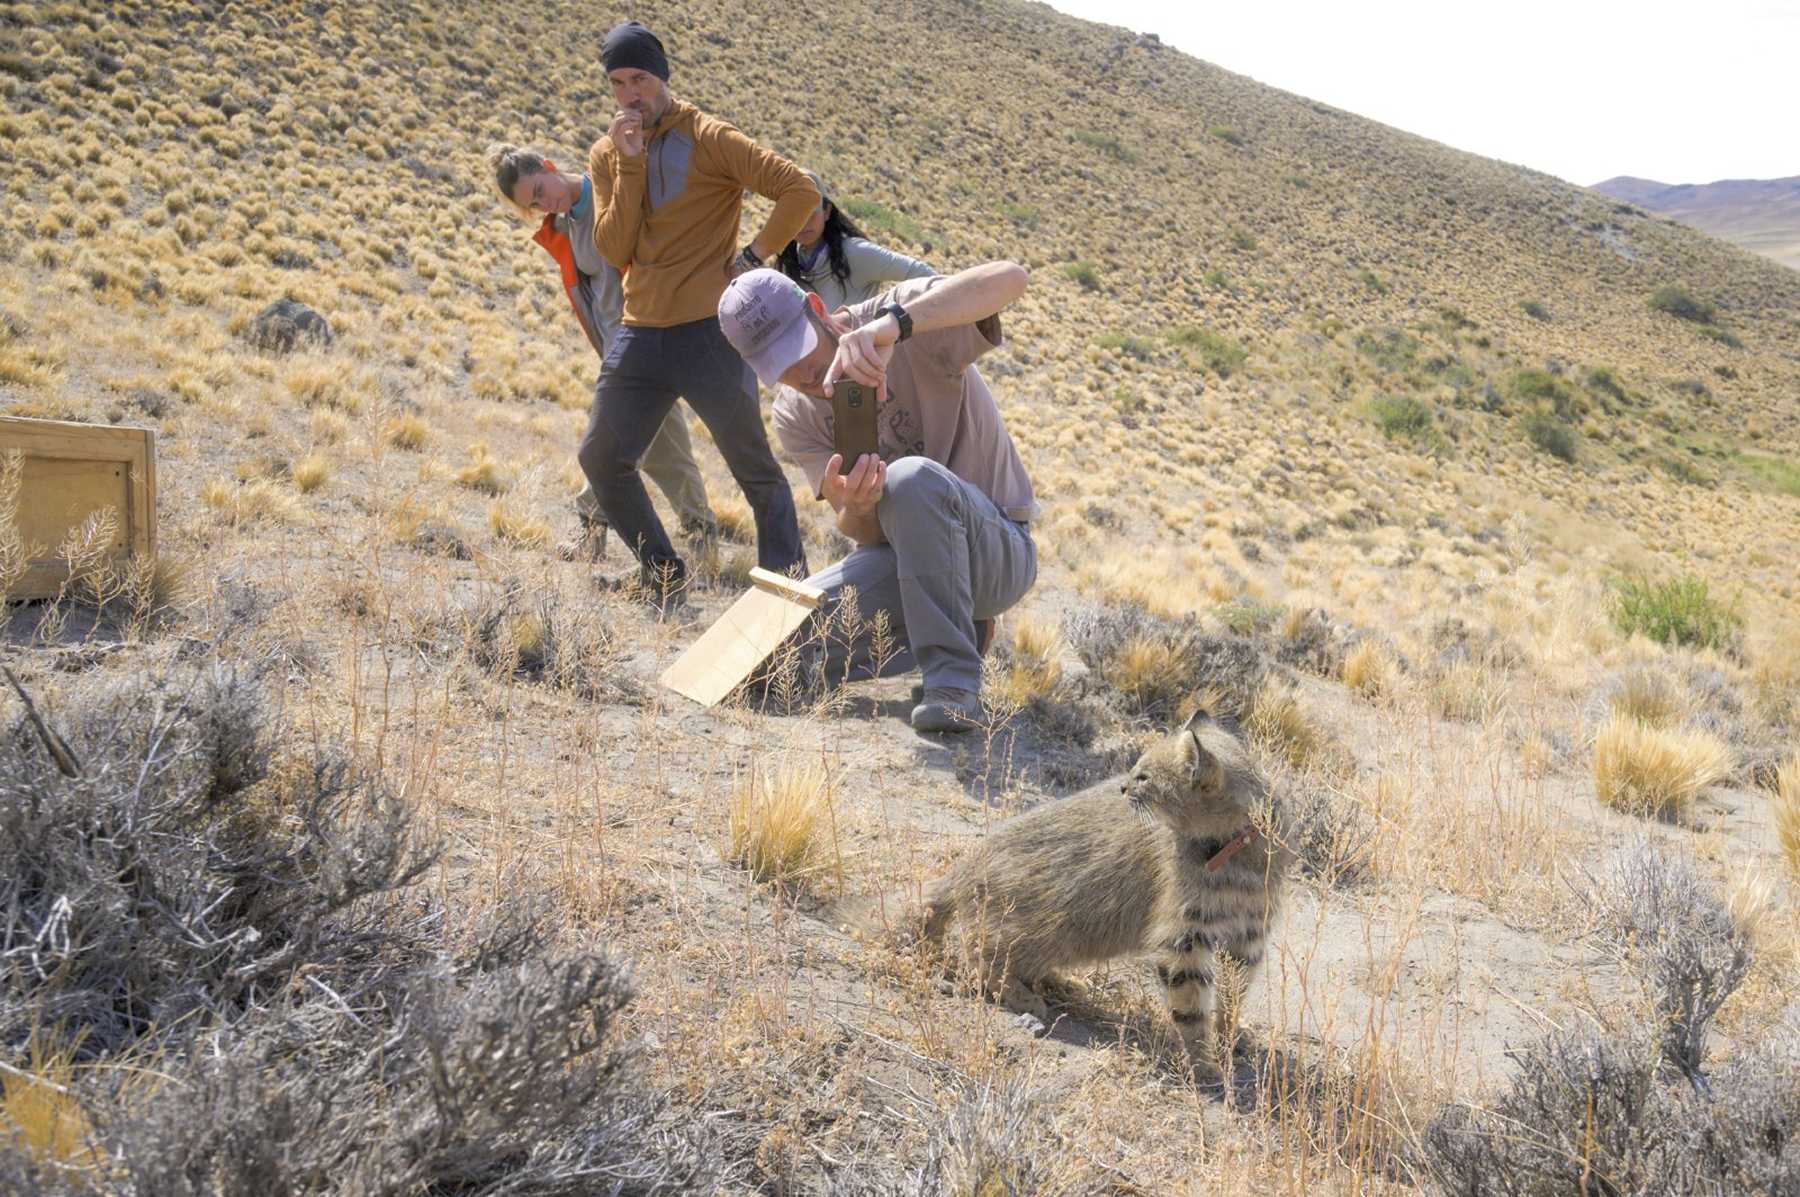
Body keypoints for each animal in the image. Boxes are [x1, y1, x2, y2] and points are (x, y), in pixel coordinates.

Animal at [871, 709, 1281, 1072]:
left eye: (1144, 777)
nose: (1122, 787)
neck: (1236, 851)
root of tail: (968, 861)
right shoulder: (1184, 936)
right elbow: (1190, 1006)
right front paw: (1202, 1061)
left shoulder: (1248, 934)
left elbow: (1232, 996)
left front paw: (1229, 1037)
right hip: (1048, 926)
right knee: (978, 953)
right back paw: (1024, 996)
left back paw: (1052, 981)